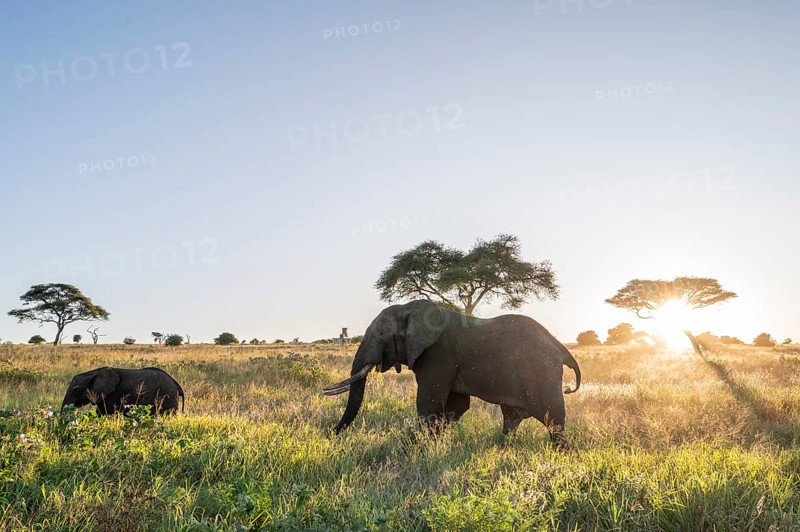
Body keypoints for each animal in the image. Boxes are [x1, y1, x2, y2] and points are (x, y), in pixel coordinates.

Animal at [323, 300, 581, 447]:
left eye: (381, 334)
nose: (330, 437)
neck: (410, 309)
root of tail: (560, 347)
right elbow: (457, 405)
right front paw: (440, 443)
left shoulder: (438, 355)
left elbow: (427, 402)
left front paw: (425, 448)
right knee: (512, 417)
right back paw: (504, 447)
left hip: (541, 372)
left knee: (553, 419)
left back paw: (561, 454)